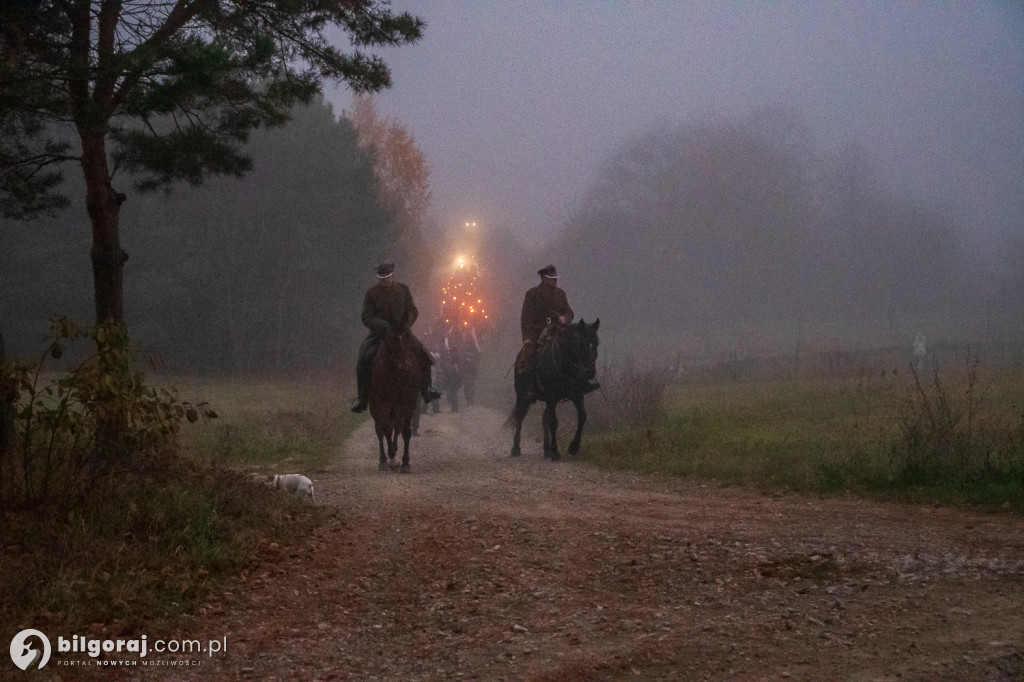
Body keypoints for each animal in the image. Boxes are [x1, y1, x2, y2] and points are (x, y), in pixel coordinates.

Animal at [370, 327, 421, 471]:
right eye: (390, 336)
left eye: (406, 335)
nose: (402, 363)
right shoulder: (381, 405)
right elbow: (386, 429)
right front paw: (392, 458)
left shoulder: (407, 404)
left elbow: (405, 430)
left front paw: (405, 462)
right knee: (380, 430)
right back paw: (383, 460)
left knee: (396, 427)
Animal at [505, 317, 598, 456]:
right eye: (581, 344)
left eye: (595, 343)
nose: (590, 371)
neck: (565, 365)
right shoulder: (551, 395)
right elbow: (553, 422)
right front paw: (555, 453)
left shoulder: (577, 394)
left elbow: (582, 416)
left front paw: (573, 447)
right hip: (522, 395)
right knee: (520, 416)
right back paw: (516, 448)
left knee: (544, 418)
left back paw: (546, 449)